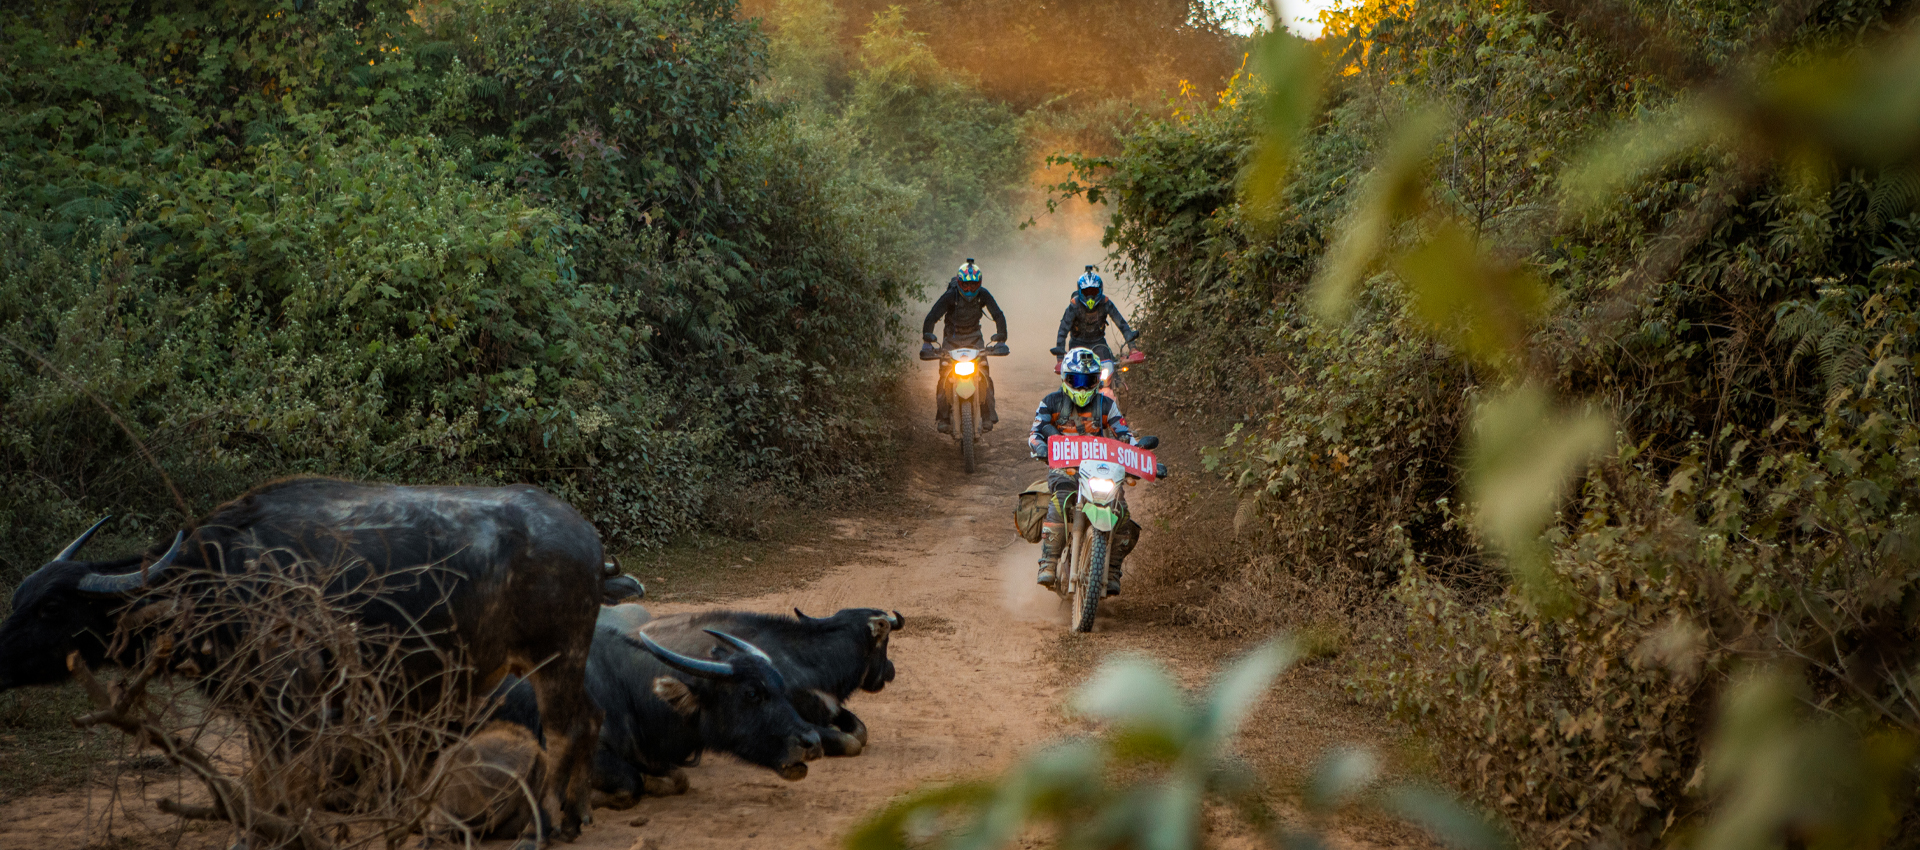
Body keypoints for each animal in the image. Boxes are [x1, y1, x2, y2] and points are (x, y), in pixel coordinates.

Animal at [0, 479, 606, 844]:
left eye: (51, 607)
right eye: (19, 598)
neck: (216, 578)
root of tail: (588, 537)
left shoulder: (292, 697)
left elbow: (290, 776)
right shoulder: (257, 705)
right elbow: (266, 775)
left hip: (554, 658)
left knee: (563, 730)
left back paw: (548, 823)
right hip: (570, 662)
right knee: (592, 719)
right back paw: (579, 812)